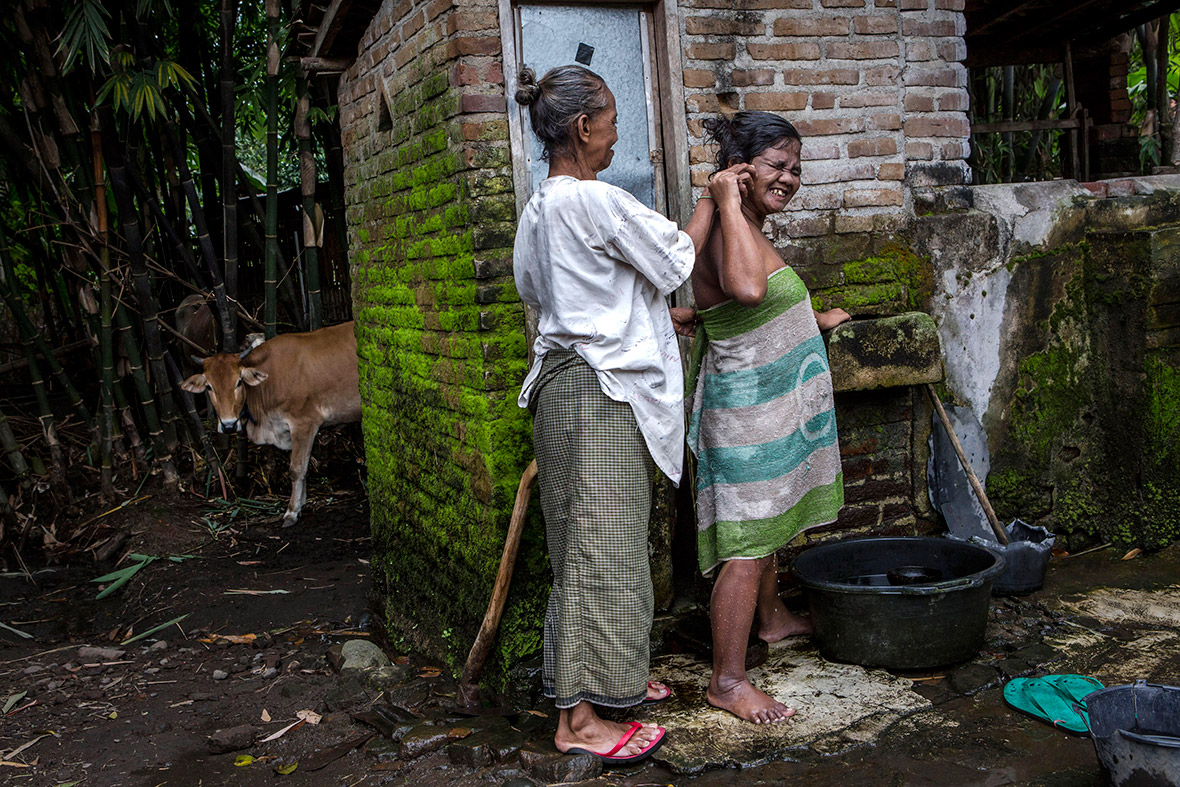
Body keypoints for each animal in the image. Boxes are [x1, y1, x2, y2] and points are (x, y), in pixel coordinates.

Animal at [180, 320, 358, 528]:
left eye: (239, 382)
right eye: (209, 386)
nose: (228, 425)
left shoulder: (304, 423)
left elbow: (296, 469)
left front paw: (291, 512)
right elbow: (302, 466)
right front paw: (302, 502)